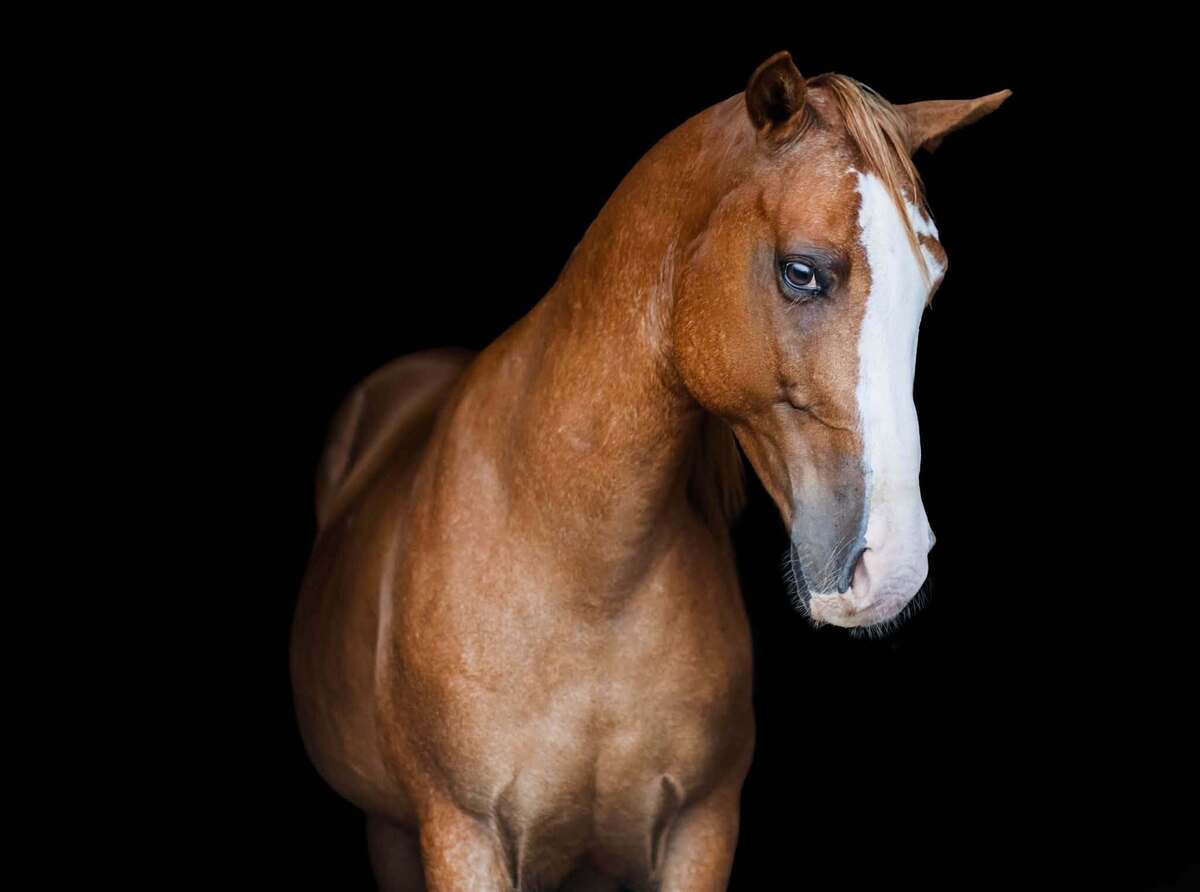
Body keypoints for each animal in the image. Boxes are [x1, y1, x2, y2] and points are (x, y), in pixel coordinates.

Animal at [290, 51, 1009, 891]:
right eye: (801, 272)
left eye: (929, 291)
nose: (894, 565)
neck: (587, 576)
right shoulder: (462, 835)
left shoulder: (701, 829)